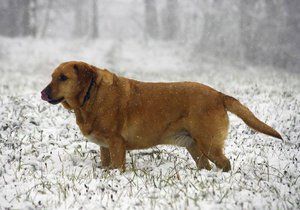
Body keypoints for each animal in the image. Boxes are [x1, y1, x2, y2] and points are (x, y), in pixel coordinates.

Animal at [41, 60, 282, 171]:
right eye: (52, 76)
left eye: (63, 77)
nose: (42, 93)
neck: (91, 96)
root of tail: (219, 95)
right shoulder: (105, 147)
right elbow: (106, 164)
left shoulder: (117, 143)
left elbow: (117, 167)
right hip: (195, 147)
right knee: (205, 167)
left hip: (210, 144)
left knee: (225, 164)